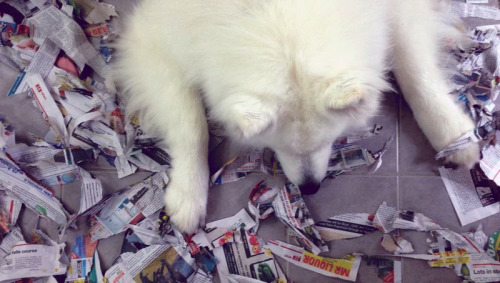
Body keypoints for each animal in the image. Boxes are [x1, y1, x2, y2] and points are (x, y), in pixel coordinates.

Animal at [113, 1, 480, 234]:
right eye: (278, 147)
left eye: (331, 139)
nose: (310, 187)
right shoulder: (153, 36)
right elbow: (191, 126)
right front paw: (188, 193)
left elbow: (416, 72)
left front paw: (453, 135)